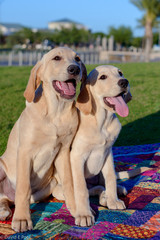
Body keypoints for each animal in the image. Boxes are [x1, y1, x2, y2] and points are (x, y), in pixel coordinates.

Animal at [0, 47, 86, 232]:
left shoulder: (63, 151)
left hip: (47, 187)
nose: (75, 69)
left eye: (77, 59)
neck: (56, 111)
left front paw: (77, 210)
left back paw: (4, 210)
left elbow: (69, 183)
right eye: (56, 58)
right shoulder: (24, 152)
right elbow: (23, 188)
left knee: (5, 200)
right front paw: (22, 219)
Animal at [71, 65, 131, 227]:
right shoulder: (77, 157)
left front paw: (113, 200)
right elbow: (81, 188)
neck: (102, 123)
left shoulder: (108, 153)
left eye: (120, 73)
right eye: (102, 77)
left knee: (102, 185)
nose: (124, 82)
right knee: (92, 189)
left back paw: (113, 193)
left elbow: (110, 177)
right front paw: (84, 214)